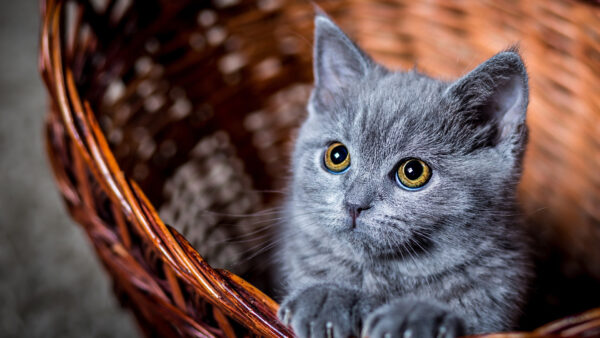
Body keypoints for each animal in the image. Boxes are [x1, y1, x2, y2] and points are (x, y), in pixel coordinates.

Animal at [274, 12, 532, 338]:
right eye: (336, 156)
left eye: (413, 171)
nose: (354, 204)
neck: (390, 274)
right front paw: (326, 298)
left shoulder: (497, 303)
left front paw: (414, 316)